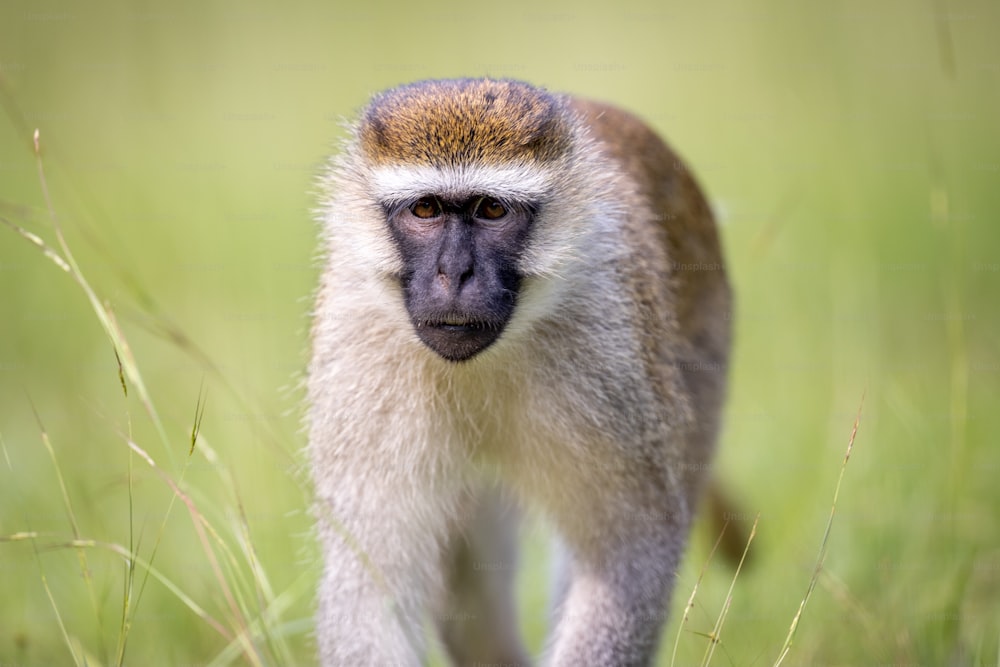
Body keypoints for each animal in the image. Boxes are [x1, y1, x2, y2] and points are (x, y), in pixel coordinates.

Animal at [308, 79, 732, 667]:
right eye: (425, 209)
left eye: (491, 209)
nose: (455, 273)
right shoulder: (357, 344)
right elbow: (371, 587)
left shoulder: (612, 349)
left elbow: (629, 555)